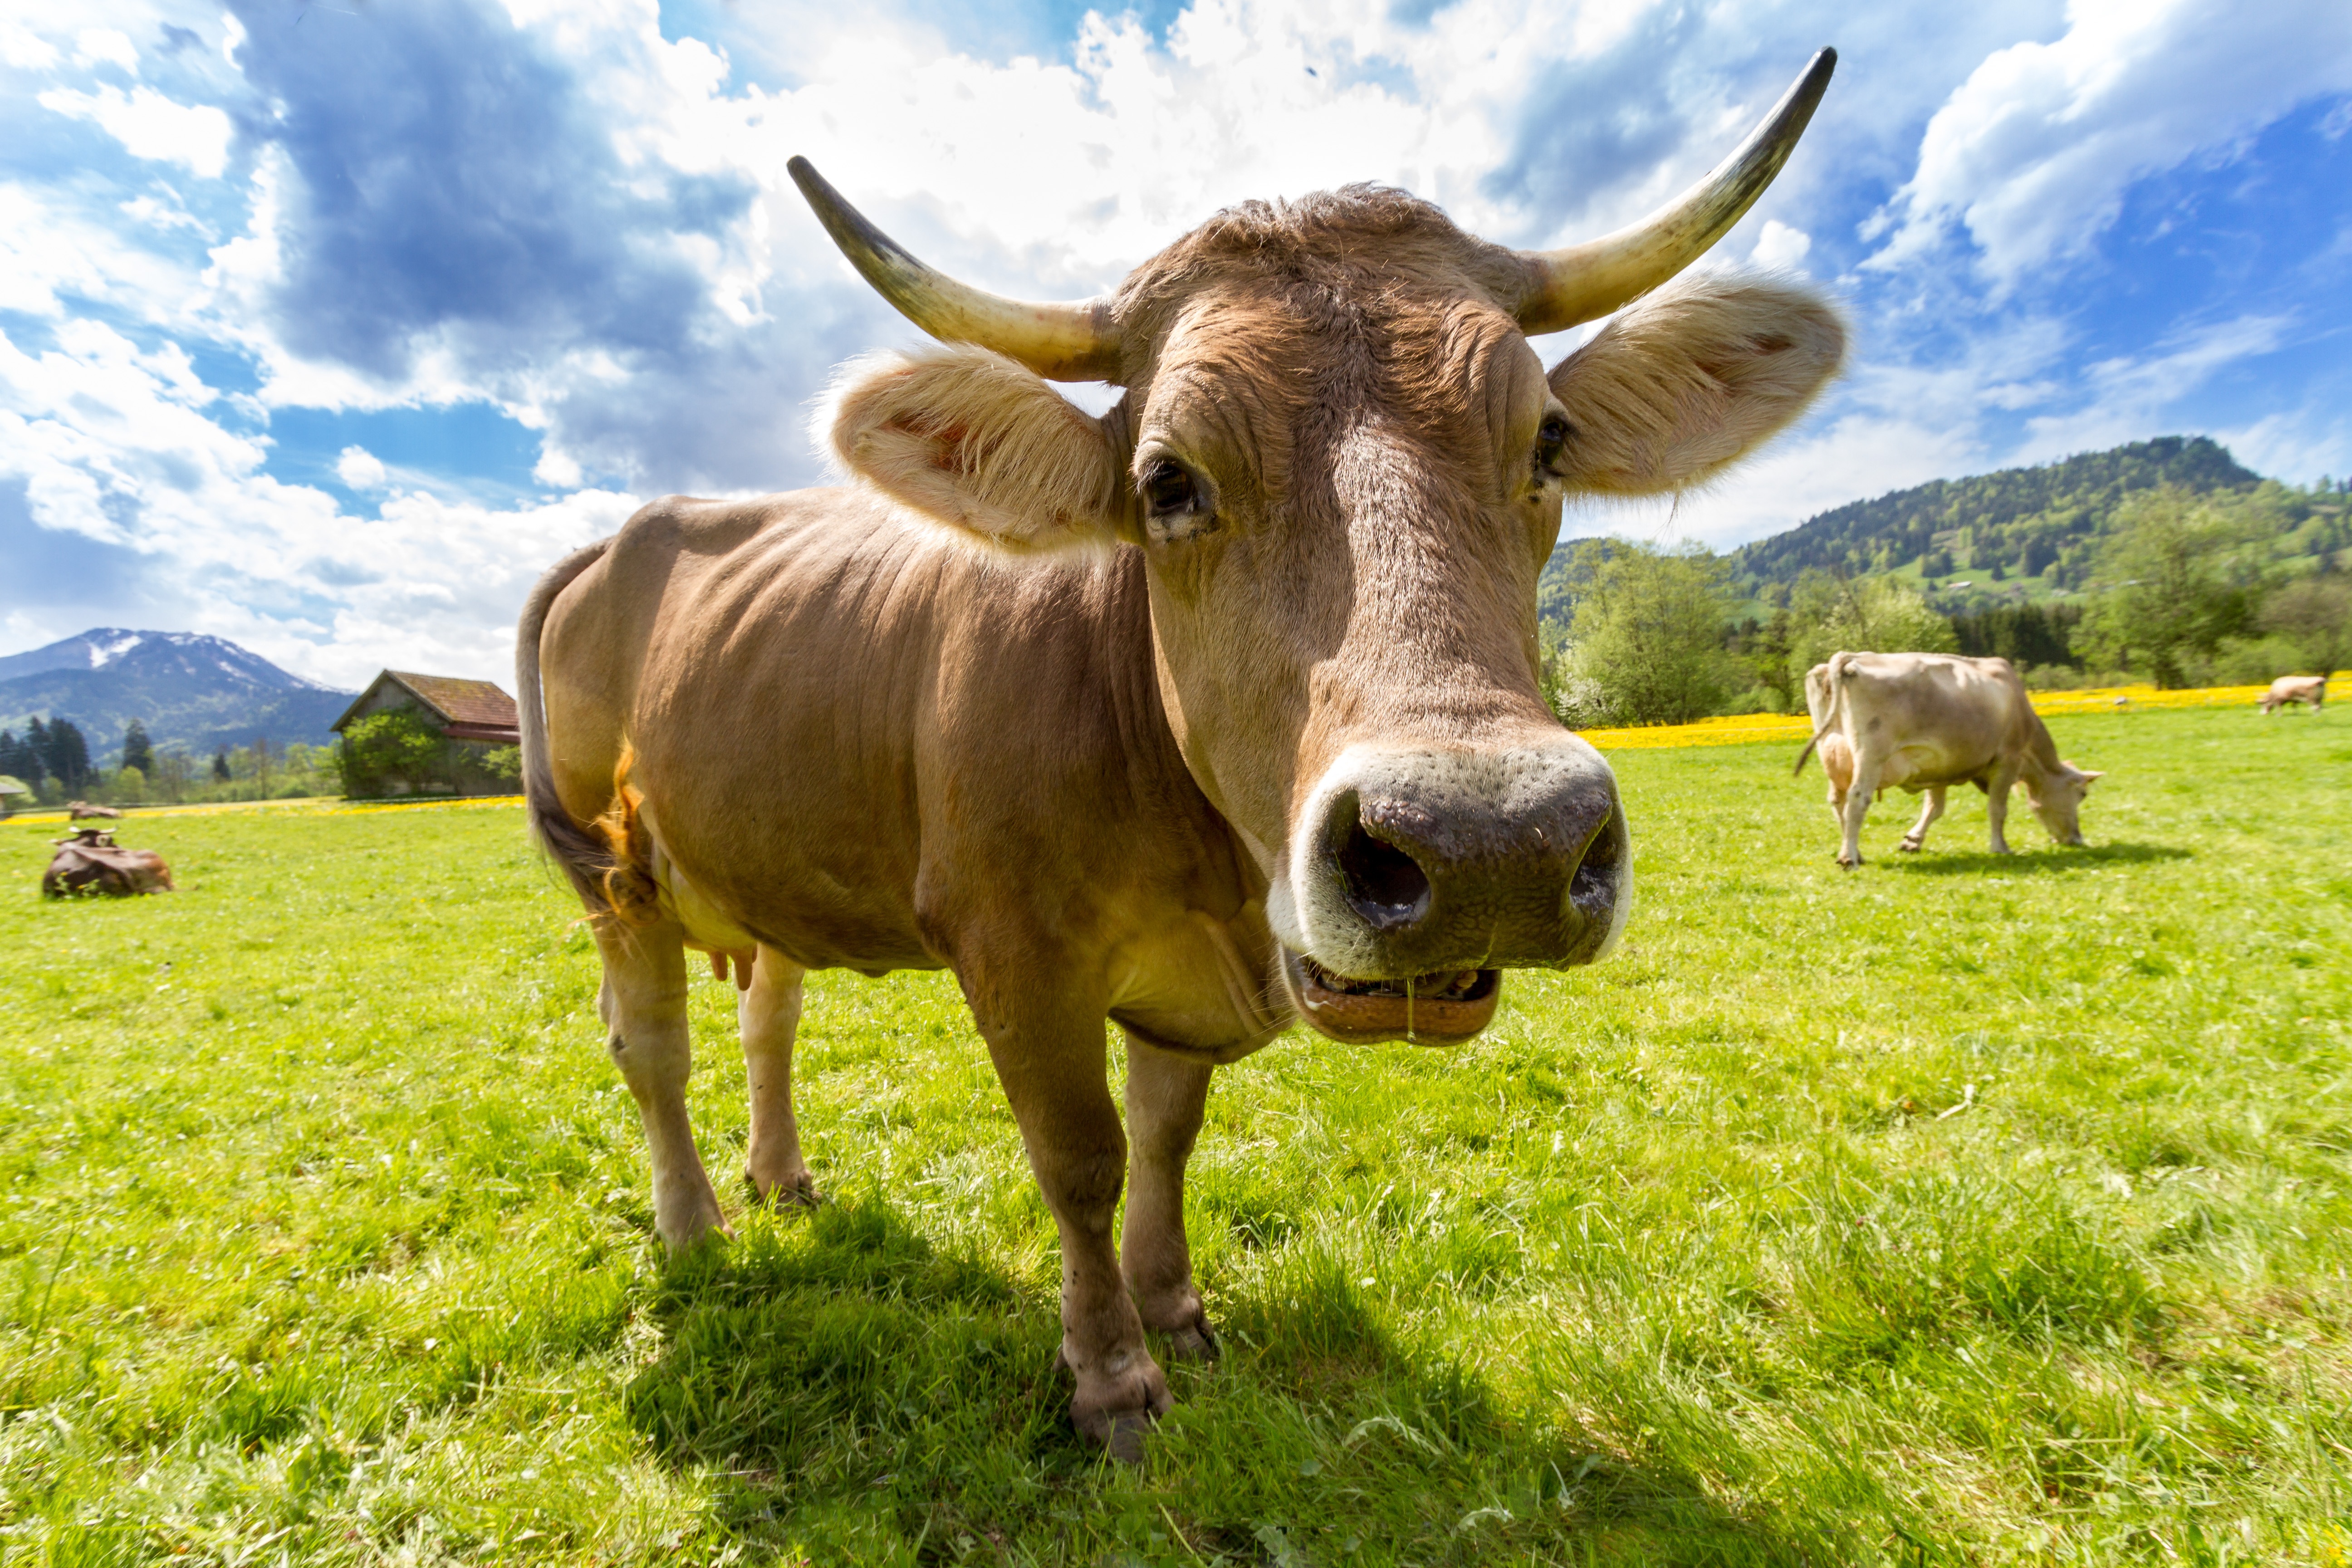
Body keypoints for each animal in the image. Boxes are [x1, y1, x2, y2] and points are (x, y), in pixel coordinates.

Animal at [524, 55, 1844, 1457]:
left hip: (760, 855)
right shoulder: (1013, 951)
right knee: (652, 1047)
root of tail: (629, 531)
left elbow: (1166, 1139)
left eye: (1547, 441)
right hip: (614, 873)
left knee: (767, 1012)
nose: (1491, 844)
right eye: (1166, 480)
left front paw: (1176, 1311)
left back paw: (780, 1178)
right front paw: (1110, 1374)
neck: (1207, 873)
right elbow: (1081, 1158)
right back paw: (695, 1226)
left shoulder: (1178, 988)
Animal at [1787, 649, 2107, 870]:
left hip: (1833, 754)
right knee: (1857, 799)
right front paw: (2000, 847)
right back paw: (1850, 858)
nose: (2077, 840)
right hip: (1871, 756)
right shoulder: (2007, 759)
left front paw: (1913, 841)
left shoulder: (1936, 765)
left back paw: (1852, 852)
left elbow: (1935, 807)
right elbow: (1997, 809)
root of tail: (1849, 657)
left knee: (1838, 803)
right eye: (2082, 794)